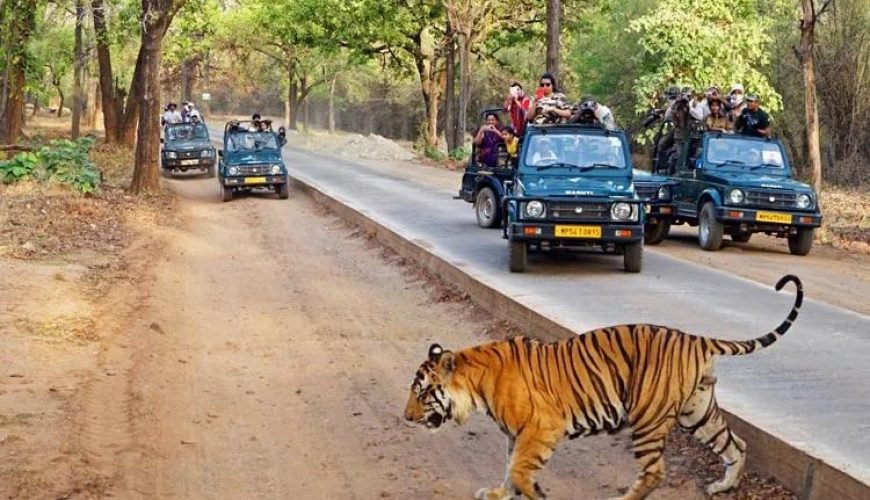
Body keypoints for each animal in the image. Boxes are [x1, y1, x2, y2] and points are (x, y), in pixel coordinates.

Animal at [403, 274, 802, 500]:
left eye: (422, 392)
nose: (406, 417)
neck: (476, 384)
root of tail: (696, 338)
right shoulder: (517, 434)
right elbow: (509, 467)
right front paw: (499, 493)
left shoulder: (542, 428)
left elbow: (519, 469)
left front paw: (533, 493)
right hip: (697, 411)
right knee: (736, 444)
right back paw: (724, 487)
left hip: (647, 416)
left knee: (655, 472)